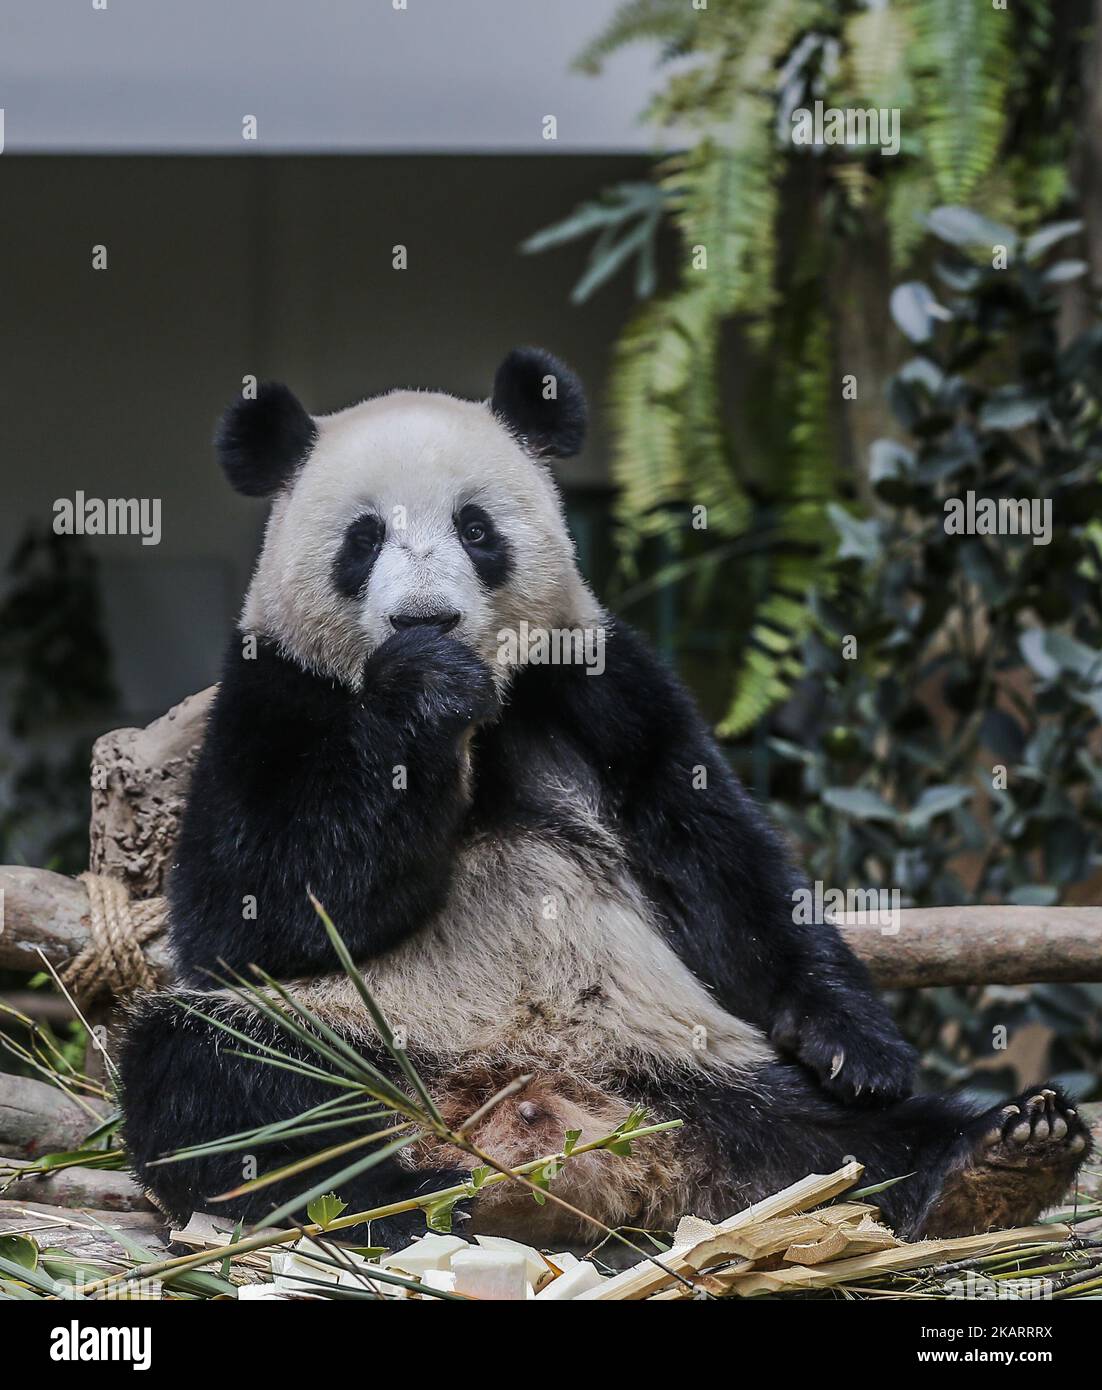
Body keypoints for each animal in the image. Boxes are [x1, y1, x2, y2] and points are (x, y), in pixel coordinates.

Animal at [118, 347, 1083, 1251]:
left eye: (476, 528)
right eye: (362, 539)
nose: (425, 620)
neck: (482, 716)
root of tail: (550, 1114)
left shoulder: (597, 684)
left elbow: (725, 866)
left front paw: (858, 1044)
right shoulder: (272, 695)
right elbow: (248, 916)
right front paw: (421, 687)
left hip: (690, 1062)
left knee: (839, 1136)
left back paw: (996, 1160)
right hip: (362, 1039)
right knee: (215, 1081)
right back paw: (400, 1199)